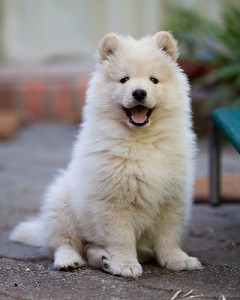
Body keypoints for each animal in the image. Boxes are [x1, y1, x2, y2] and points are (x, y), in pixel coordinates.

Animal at [9, 31, 202, 278]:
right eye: (124, 80)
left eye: (153, 80)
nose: (139, 92)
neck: (141, 140)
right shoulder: (113, 201)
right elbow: (121, 237)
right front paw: (125, 265)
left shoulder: (172, 198)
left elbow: (169, 236)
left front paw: (177, 260)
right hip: (62, 207)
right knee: (65, 243)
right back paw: (69, 260)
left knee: (91, 246)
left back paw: (102, 259)